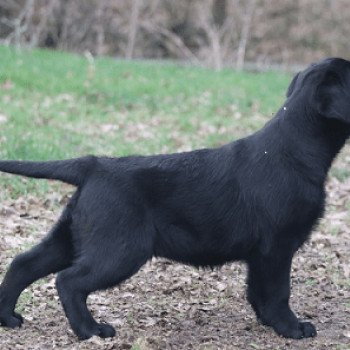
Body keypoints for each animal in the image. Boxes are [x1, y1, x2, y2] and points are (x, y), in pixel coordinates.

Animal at [0, 57, 350, 340]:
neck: (295, 149)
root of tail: (93, 165)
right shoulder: (276, 246)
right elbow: (278, 292)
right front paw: (292, 328)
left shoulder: (260, 253)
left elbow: (259, 292)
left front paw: (269, 322)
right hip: (120, 249)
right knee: (68, 281)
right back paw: (90, 330)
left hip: (75, 236)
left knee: (23, 263)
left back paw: (9, 317)